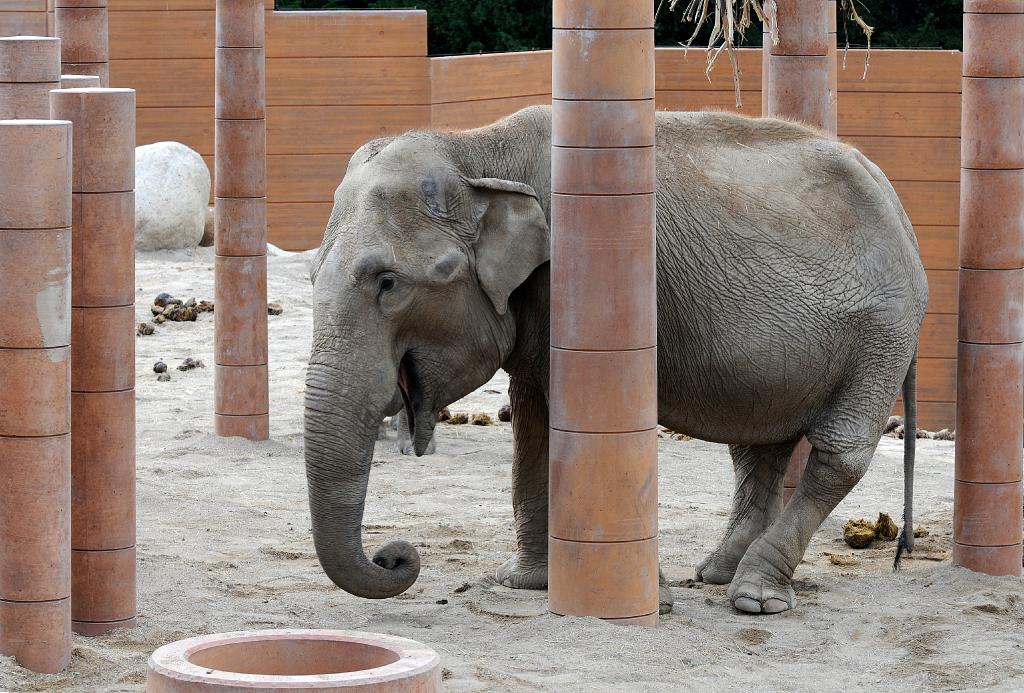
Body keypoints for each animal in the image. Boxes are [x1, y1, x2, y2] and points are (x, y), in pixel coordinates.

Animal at [303, 105, 929, 614]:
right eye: (310, 274)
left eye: (388, 282)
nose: (396, 556)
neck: (475, 148)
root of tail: (900, 208)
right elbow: (533, 424)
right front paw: (524, 583)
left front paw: (650, 601)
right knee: (759, 441)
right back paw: (716, 573)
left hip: (883, 334)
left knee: (838, 452)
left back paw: (755, 596)